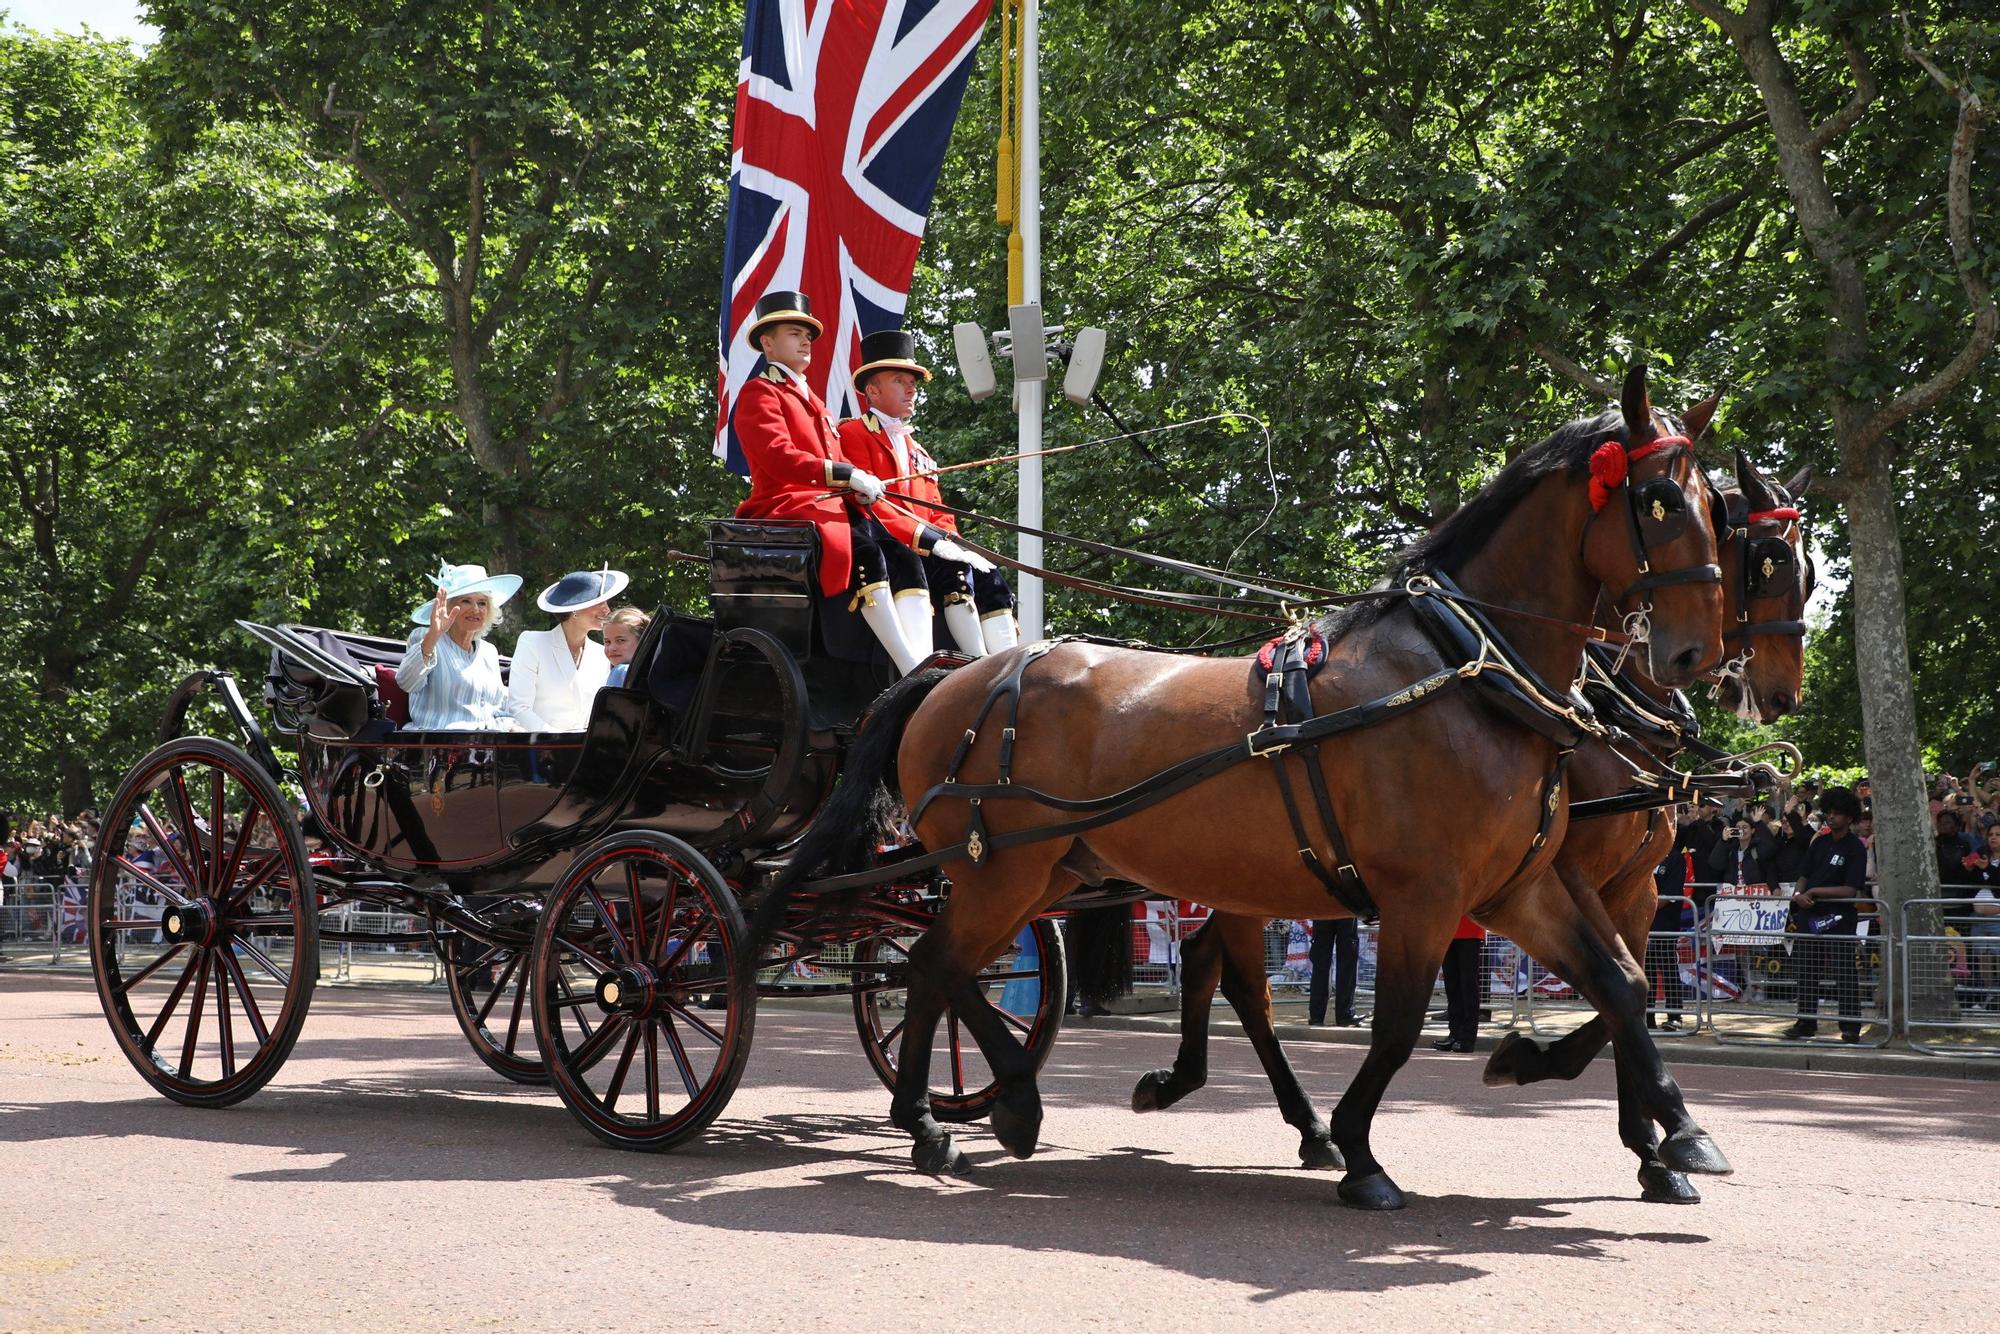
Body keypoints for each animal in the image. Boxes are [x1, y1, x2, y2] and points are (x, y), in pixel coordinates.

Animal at [764, 366, 1736, 1208]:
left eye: (1717, 512)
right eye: (1659, 501)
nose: (1696, 657)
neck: (1467, 670)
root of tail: (952, 675)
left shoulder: (1520, 888)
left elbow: (1621, 985)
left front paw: (1675, 1136)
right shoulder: (1427, 895)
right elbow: (1397, 1026)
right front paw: (1363, 1152)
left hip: (1042, 874)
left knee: (948, 967)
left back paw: (991, 1107)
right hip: (999, 871)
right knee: (935, 965)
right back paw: (946, 1119)